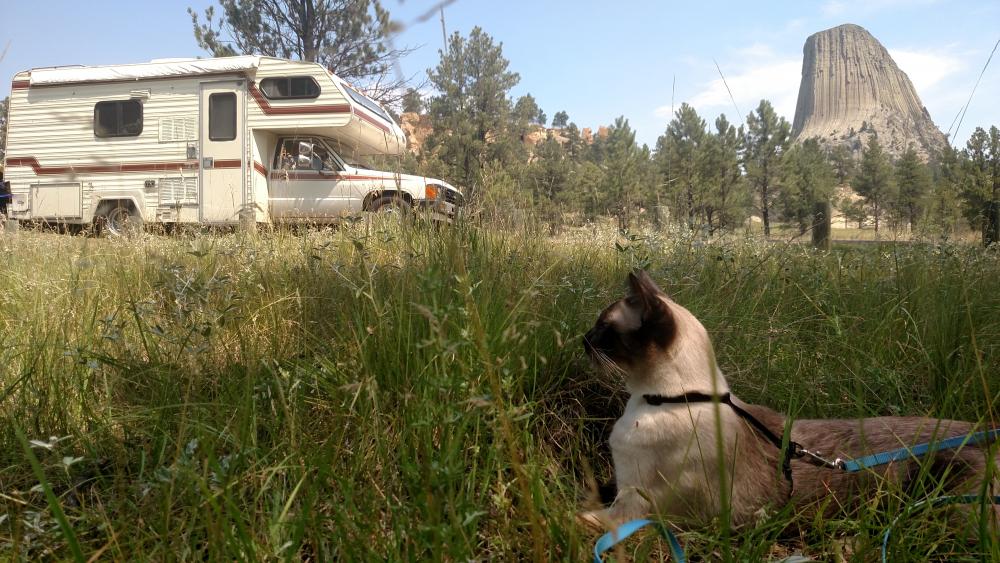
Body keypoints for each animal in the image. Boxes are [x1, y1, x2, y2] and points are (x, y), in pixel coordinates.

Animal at [578, 270, 998, 531]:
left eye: (603, 329)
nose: (582, 338)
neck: (674, 400)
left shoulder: (631, 509)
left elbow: (575, 516)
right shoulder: (620, 490)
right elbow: (592, 489)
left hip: (945, 507)